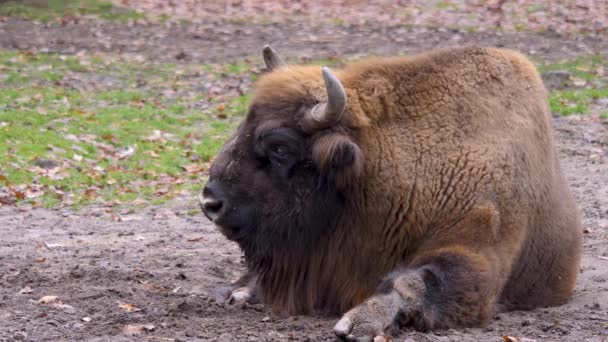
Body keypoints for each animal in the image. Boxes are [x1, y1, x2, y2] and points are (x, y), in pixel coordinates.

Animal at [202, 44, 580, 340]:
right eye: (242, 127)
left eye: (280, 147)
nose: (210, 202)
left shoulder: (477, 244)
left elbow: (418, 281)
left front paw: (357, 322)